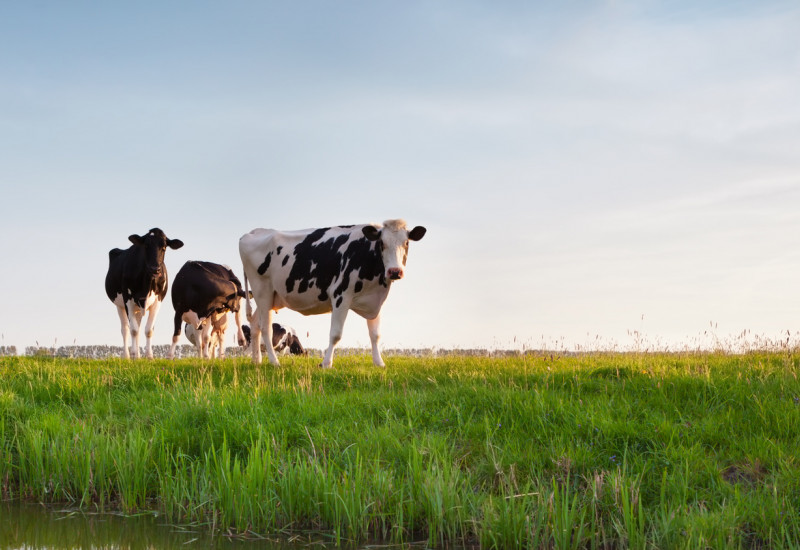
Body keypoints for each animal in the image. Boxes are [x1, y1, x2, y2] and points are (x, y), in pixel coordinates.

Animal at [103, 227, 183, 360]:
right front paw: (135, 355)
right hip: (119, 305)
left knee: (138, 328)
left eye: (164, 247)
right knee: (125, 329)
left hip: (137, 308)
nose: (154, 269)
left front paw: (149, 356)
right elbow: (133, 330)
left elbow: (148, 330)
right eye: (146, 246)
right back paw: (128, 355)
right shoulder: (128, 300)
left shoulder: (158, 301)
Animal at [238, 218, 424, 368]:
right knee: (265, 327)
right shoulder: (341, 295)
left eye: (406, 243)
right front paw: (326, 364)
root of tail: (253, 232)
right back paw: (274, 362)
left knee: (255, 324)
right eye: (382, 243)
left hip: (272, 297)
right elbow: (335, 334)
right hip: (262, 290)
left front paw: (379, 363)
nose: (395, 271)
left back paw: (257, 361)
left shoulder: (375, 300)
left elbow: (375, 335)